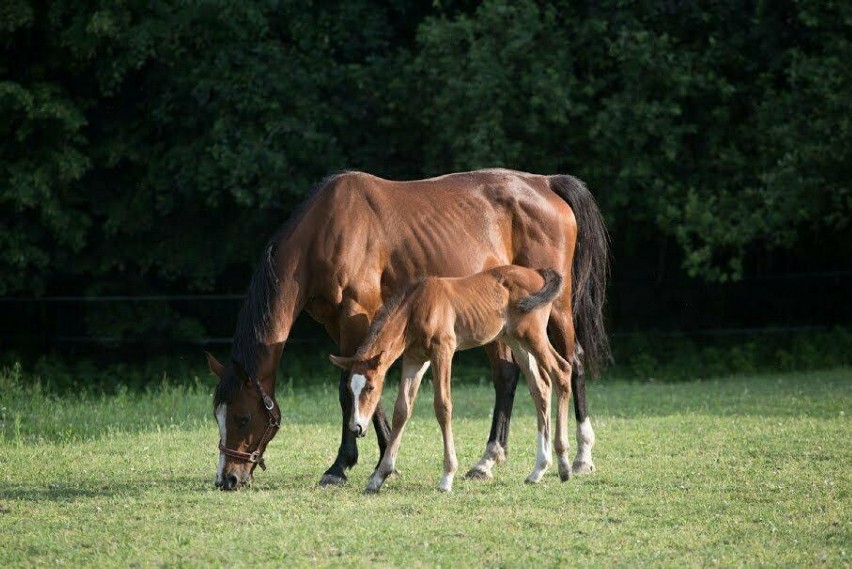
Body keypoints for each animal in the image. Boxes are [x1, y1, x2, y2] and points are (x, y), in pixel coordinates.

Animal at [330, 264, 576, 490]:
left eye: (370, 387)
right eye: (350, 389)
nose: (356, 427)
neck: (416, 306)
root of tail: (537, 272)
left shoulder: (443, 351)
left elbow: (443, 406)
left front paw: (447, 476)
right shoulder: (414, 359)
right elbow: (401, 410)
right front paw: (379, 477)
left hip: (533, 335)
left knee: (562, 371)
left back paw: (564, 465)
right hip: (516, 340)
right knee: (540, 387)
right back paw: (538, 470)